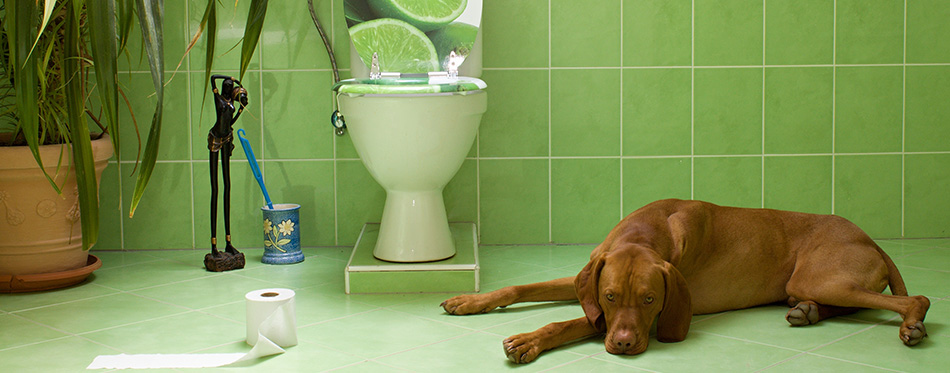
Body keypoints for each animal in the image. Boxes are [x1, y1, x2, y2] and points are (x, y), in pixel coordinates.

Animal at [442, 199, 932, 362]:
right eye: (611, 295)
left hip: (823, 276)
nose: (623, 345)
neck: (646, 230)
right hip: (809, 284)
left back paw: (912, 325)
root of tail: (868, 237)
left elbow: (571, 322)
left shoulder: (663, 311)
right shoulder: (590, 281)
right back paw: (807, 313)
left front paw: (528, 340)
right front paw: (471, 300)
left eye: (650, 301)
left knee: (917, 299)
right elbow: (521, 288)